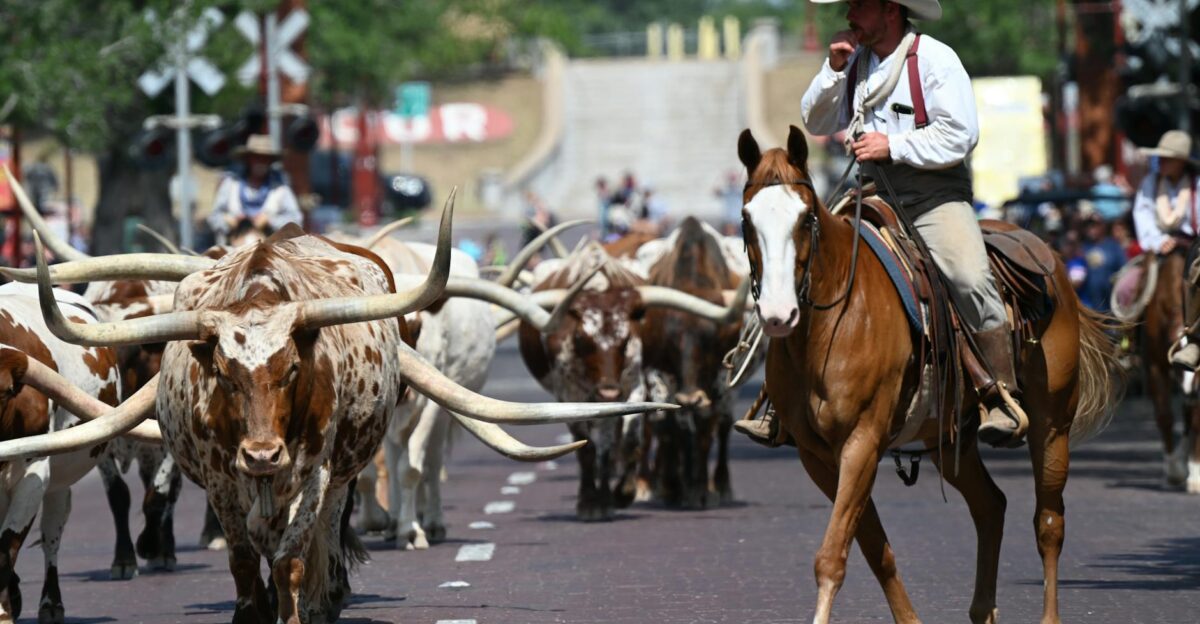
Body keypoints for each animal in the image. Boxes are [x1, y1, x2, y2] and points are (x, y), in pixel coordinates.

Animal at [0, 282, 121, 624]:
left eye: (4, 391)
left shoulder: (34, 473)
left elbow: (7, 546)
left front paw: (3, 611)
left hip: (58, 479)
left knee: (52, 533)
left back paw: (50, 604)